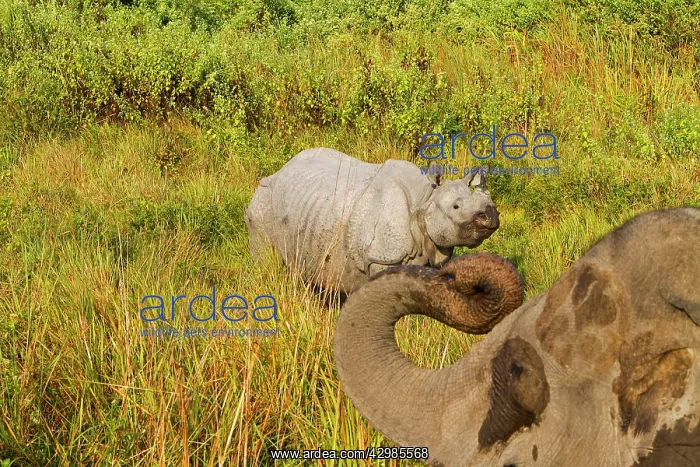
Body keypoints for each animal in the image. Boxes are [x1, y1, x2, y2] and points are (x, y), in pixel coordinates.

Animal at [245, 147, 499, 293]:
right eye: (455, 207)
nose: (491, 216)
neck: (425, 200)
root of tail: (278, 171)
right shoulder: (382, 256)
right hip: (262, 204)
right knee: (267, 264)